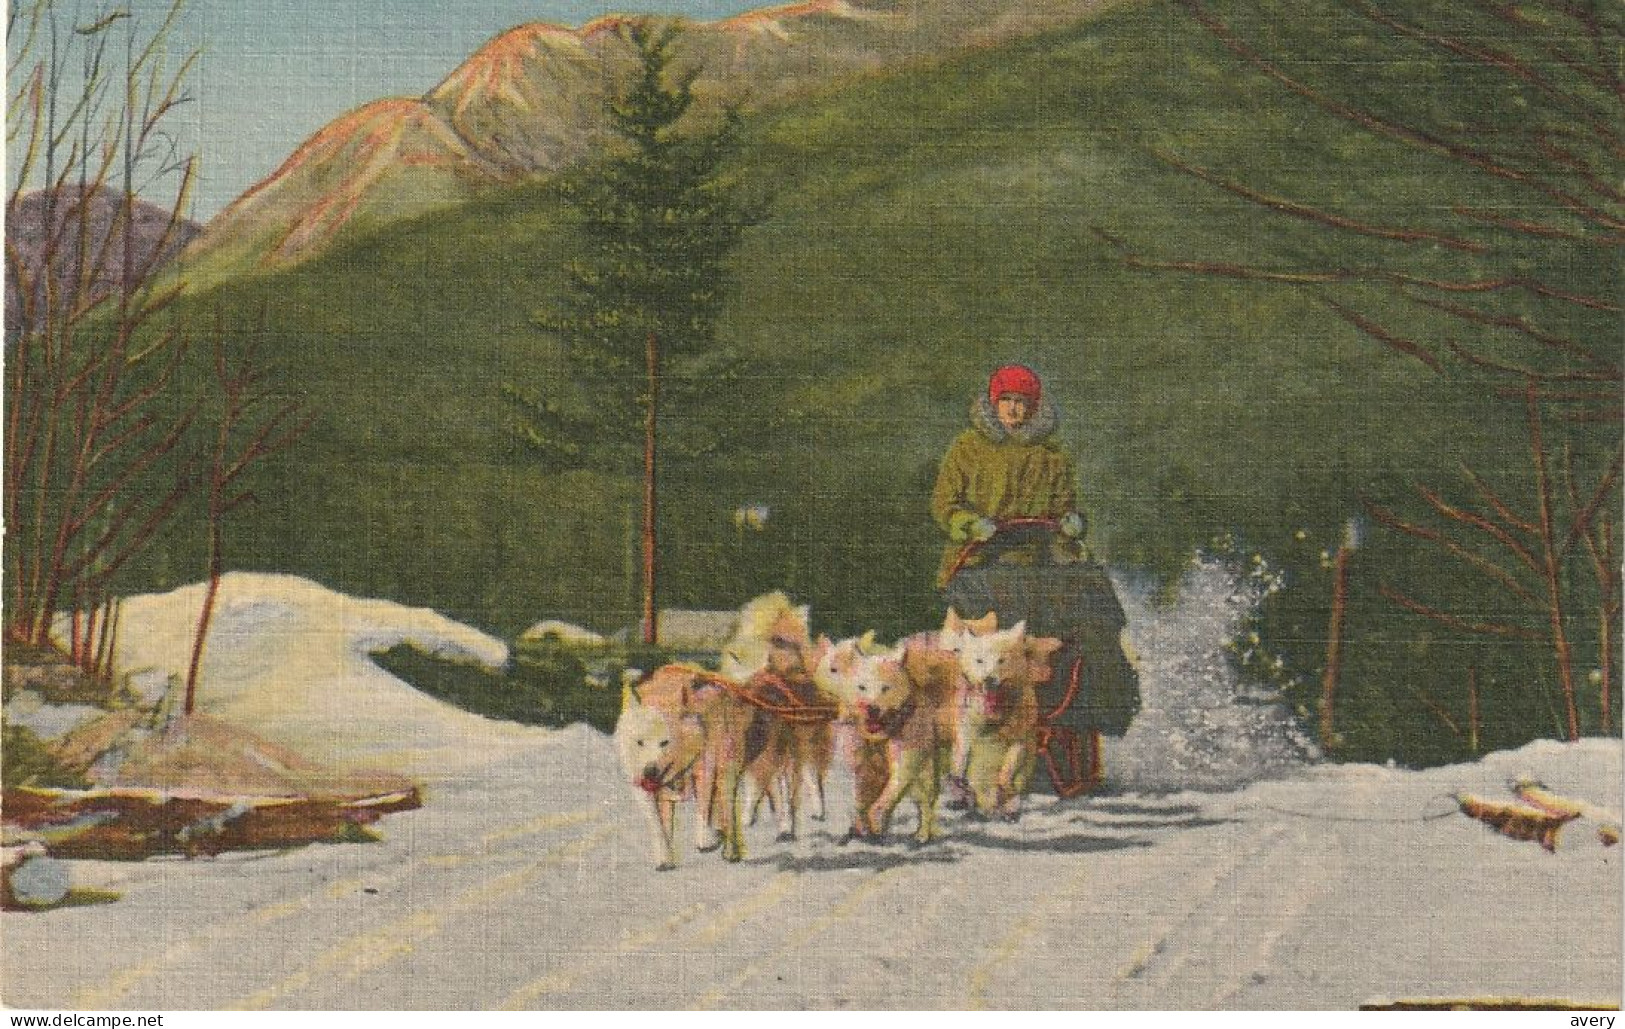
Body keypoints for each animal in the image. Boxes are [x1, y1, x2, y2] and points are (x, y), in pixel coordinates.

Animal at [614, 656, 754, 864]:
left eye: (665, 742)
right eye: (640, 742)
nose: (650, 771)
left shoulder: (705, 769)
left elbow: (703, 810)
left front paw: (704, 840)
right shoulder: (641, 785)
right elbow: (656, 824)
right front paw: (664, 859)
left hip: (725, 770)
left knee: (726, 809)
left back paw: (730, 851)